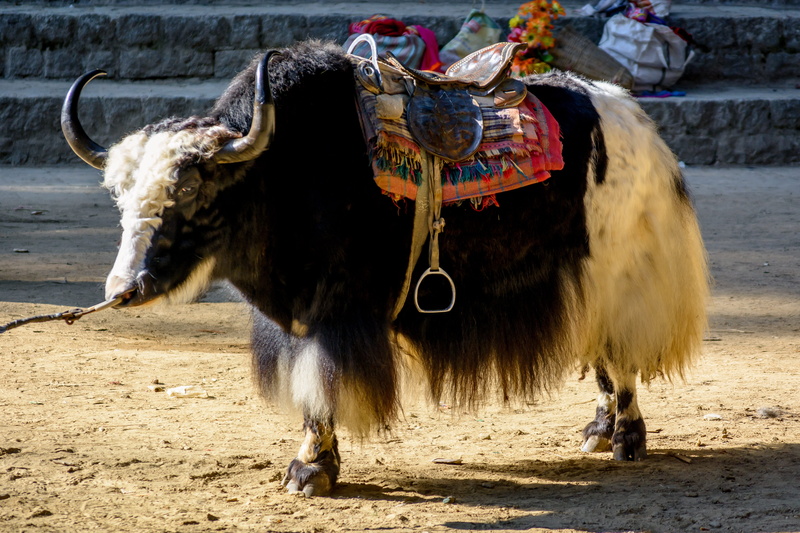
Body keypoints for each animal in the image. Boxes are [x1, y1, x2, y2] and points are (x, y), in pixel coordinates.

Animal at [60, 40, 708, 497]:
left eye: (193, 190)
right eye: (118, 193)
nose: (125, 288)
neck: (277, 173)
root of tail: (635, 118)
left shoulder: (336, 312)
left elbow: (321, 384)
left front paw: (309, 472)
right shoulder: (297, 317)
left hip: (621, 268)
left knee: (623, 352)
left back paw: (624, 438)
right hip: (584, 276)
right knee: (601, 348)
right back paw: (597, 431)